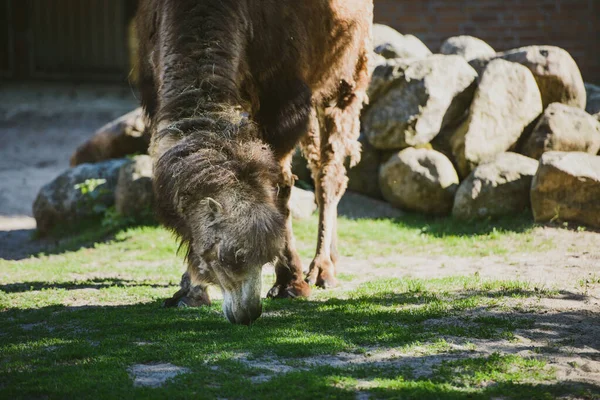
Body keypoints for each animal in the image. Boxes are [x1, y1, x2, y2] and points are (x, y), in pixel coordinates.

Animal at [75, 0, 372, 324]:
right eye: (227, 256)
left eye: (264, 256)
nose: (249, 314)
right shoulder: (155, 94)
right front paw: (189, 292)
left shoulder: (285, 101)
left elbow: (280, 187)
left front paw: (289, 283)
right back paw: (331, 259)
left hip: (346, 75)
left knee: (329, 173)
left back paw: (322, 270)